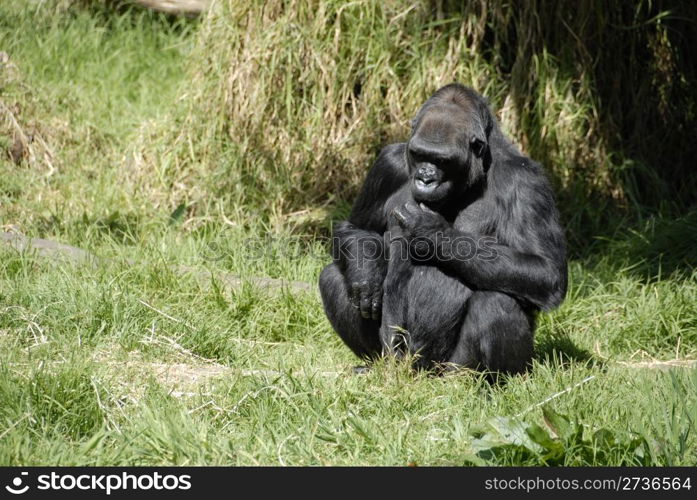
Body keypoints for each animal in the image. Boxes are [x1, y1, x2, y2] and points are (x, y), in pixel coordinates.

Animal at [318, 84, 568, 374]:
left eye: (443, 160)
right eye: (419, 155)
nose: (425, 178)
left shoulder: (527, 181)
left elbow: (546, 271)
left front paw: (431, 233)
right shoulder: (388, 164)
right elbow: (356, 228)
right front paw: (367, 274)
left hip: (446, 366)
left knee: (496, 300)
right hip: (395, 357)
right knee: (333, 277)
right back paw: (374, 365)